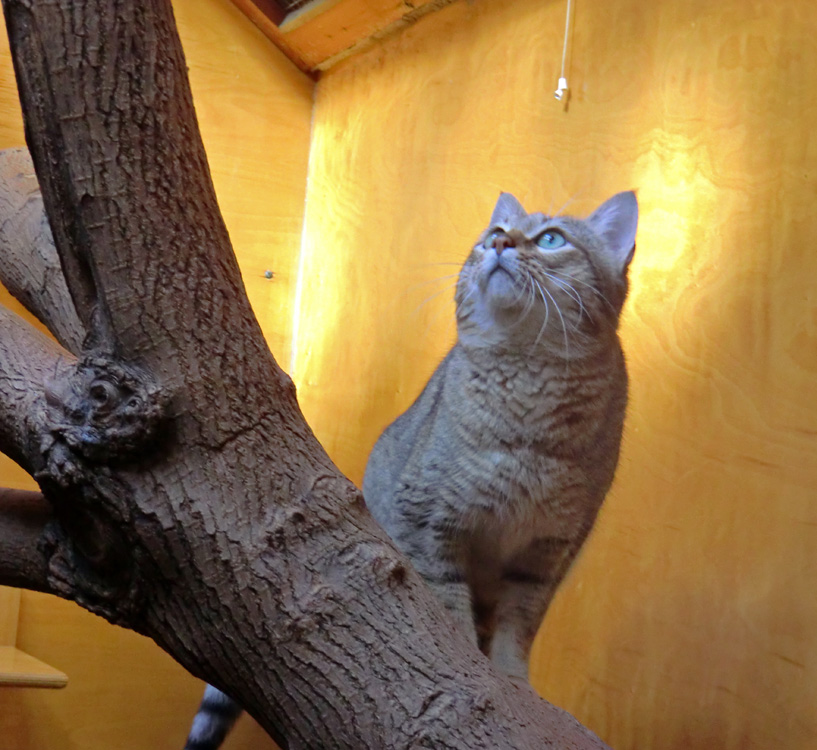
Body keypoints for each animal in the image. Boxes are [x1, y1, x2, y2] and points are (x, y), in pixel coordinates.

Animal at [182, 189, 636, 748]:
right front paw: (473, 664)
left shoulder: (547, 555)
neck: (527, 395)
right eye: (495, 232)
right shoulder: (430, 521)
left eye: (551, 238)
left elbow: (518, 627)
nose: (501, 243)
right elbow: (449, 602)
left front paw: (512, 680)